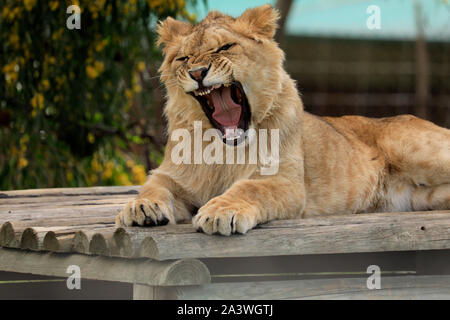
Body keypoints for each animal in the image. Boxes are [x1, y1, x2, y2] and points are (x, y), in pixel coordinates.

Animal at [116, 4, 450, 235]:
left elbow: (248, 188)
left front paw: (220, 211)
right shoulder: (171, 175)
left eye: (225, 47)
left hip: (415, 149)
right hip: (423, 197)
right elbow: (154, 186)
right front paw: (140, 207)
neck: (223, 150)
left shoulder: (284, 182)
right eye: (183, 59)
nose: (198, 73)